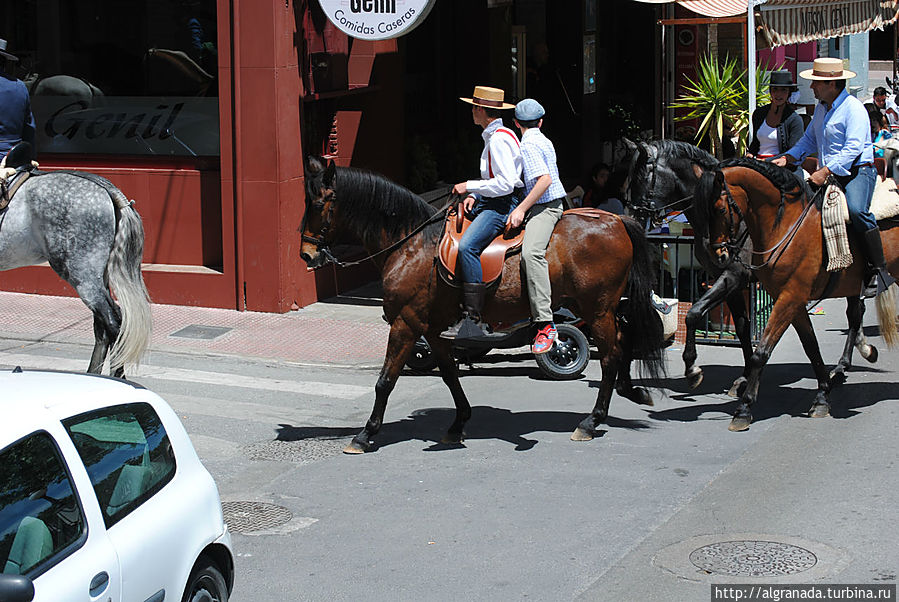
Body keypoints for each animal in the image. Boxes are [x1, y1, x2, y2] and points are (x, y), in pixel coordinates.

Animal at [298, 157, 664, 452]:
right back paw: (630, 392)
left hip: (597, 308)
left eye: (318, 203)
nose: (306, 254)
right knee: (623, 343)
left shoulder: (406, 323)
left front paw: (365, 434)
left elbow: (385, 380)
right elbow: (449, 374)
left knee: (611, 354)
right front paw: (459, 422)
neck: (411, 245)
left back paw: (591, 420)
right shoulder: (432, 328)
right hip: (601, 308)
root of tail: (616, 221)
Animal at [696, 158, 899, 432]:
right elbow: (811, 347)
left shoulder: (789, 298)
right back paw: (849, 362)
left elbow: (762, 352)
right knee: (855, 315)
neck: (785, 226)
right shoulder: (793, 299)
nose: (718, 256)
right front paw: (823, 396)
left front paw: (743, 409)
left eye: (718, 209)